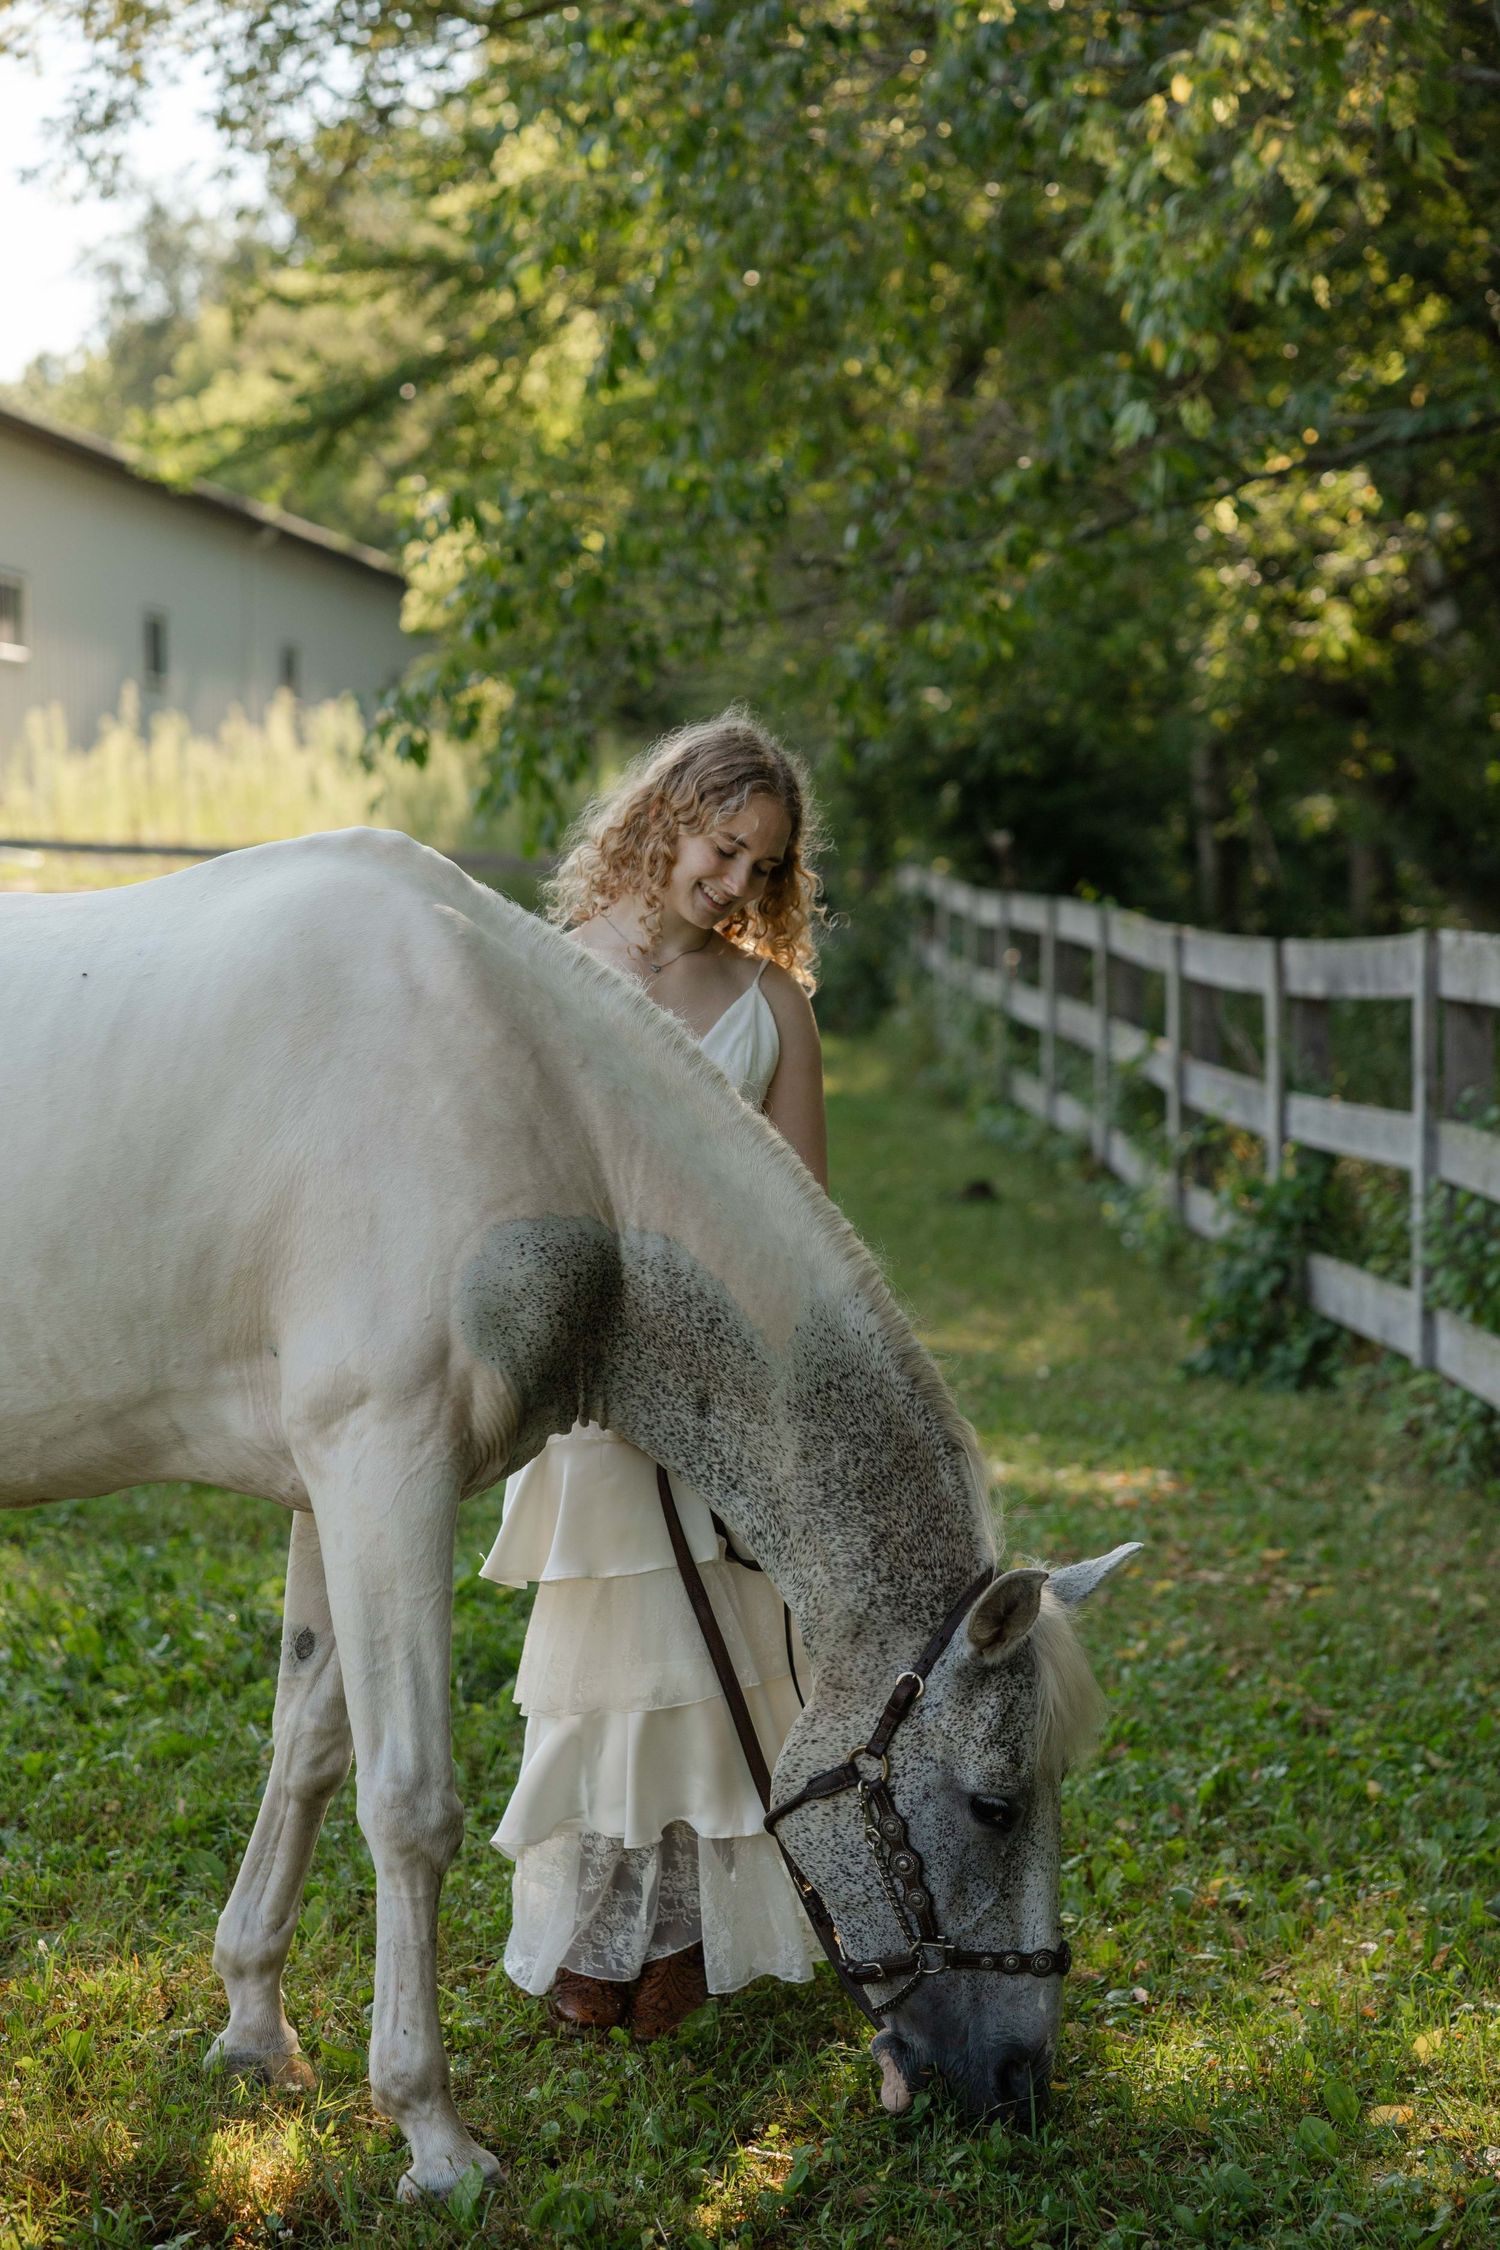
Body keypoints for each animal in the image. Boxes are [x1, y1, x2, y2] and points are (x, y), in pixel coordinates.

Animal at [0, 827, 1136, 2198]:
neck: (536, 1109)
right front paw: (433, 2134)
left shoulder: (330, 1486)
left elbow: (307, 1747)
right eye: (995, 1805)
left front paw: (253, 2029)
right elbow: (408, 1803)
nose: (1021, 2086)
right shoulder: (385, 1468)